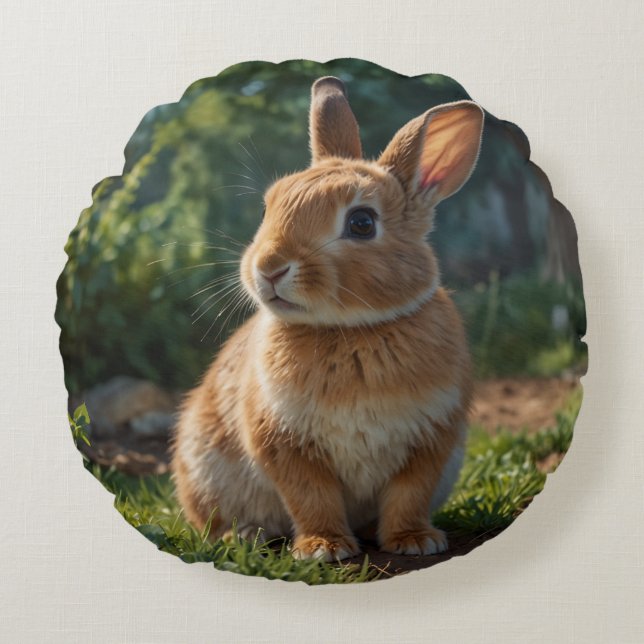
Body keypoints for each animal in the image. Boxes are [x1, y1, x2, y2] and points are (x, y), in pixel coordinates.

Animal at [171, 76, 484, 561]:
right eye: (268, 209)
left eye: (361, 223)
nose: (268, 267)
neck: (352, 329)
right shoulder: (284, 444)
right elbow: (311, 496)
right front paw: (323, 548)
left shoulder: (431, 440)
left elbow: (408, 494)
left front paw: (414, 541)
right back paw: (243, 536)